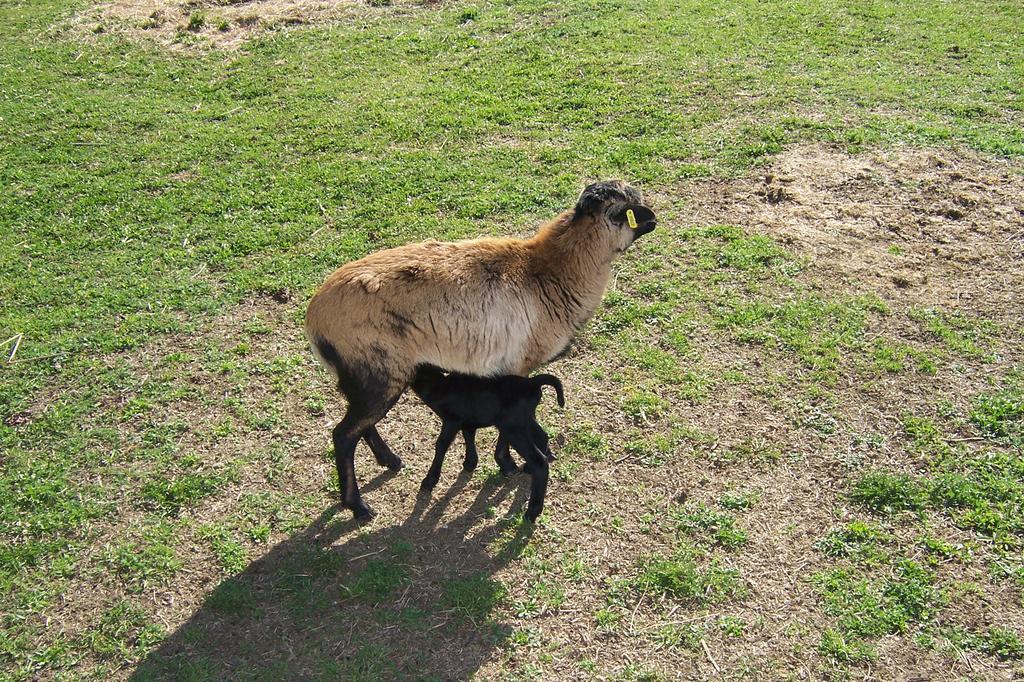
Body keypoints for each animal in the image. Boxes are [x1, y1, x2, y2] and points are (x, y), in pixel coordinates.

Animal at [305, 180, 655, 516]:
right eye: (628, 205)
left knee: (361, 426)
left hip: (367, 376)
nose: (654, 219)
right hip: (378, 371)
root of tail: (314, 319)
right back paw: (359, 507)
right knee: (344, 435)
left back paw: (391, 462)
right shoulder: (516, 367)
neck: (550, 271)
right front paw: (509, 464)